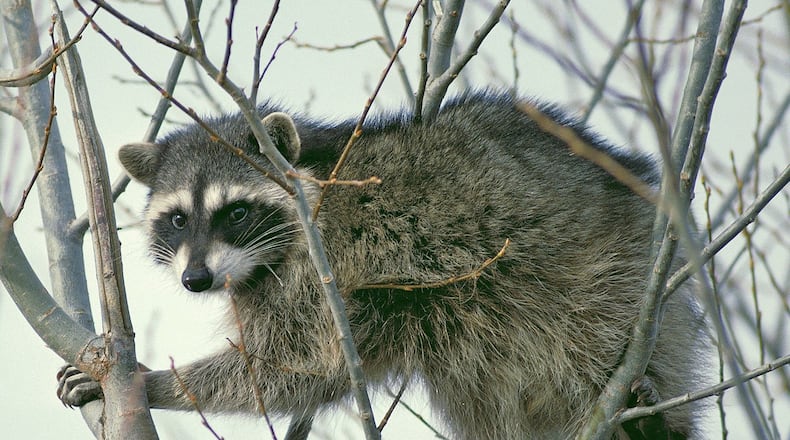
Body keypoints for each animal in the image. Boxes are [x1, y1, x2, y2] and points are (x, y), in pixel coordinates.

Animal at [58, 92, 710, 439]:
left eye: (235, 211)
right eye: (175, 220)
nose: (196, 280)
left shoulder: (325, 268)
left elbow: (288, 364)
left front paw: (155, 382)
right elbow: (298, 371)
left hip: (609, 274)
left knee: (596, 331)